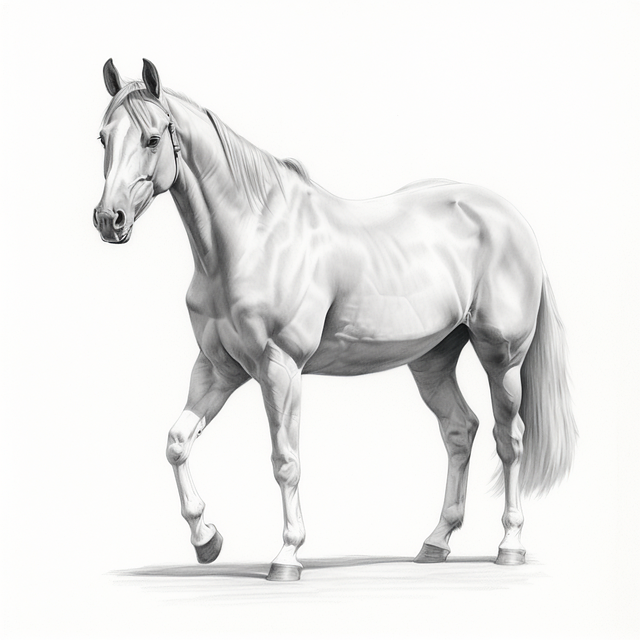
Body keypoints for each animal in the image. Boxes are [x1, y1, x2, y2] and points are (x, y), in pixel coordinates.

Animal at [94, 58, 577, 581]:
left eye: (152, 138)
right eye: (102, 137)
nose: (109, 219)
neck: (252, 238)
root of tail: (512, 220)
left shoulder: (280, 369)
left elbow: (285, 461)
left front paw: (287, 555)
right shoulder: (218, 370)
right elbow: (177, 442)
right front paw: (207, 540)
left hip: (502, 359)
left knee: (509, 441)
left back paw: (510, 545)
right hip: (433, 360)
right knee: (459, 430)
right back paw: (435, 542)